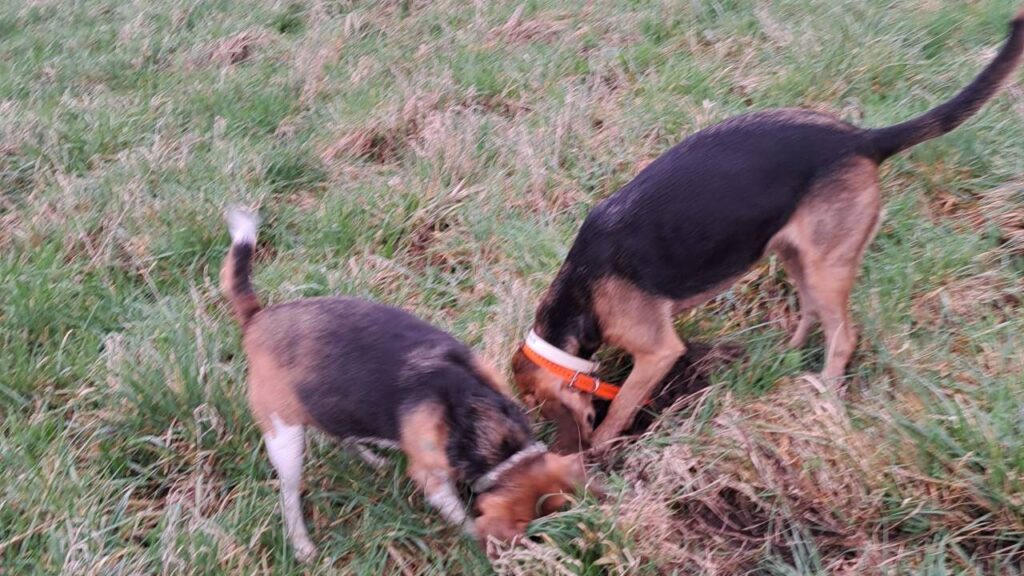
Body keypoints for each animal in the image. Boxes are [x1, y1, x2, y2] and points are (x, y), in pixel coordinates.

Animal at [220, 208, 589, 557]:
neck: (476, 411)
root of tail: (257, 319)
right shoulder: (432, 478)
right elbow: (458, 514)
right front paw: (471, 534)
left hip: (332, 405)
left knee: (341, 434)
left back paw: (371, 458)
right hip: (283, 437)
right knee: (289, 494)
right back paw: (301, 544)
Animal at [512, 10, 1024, 448]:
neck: (579, 292)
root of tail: (863, 140)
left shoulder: (657, 352)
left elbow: (620, 409)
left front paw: (600, 450)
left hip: (827, 265)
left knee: (842, 337)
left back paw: (828, 398)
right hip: (795, 254)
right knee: (811, 310)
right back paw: (783, 356)